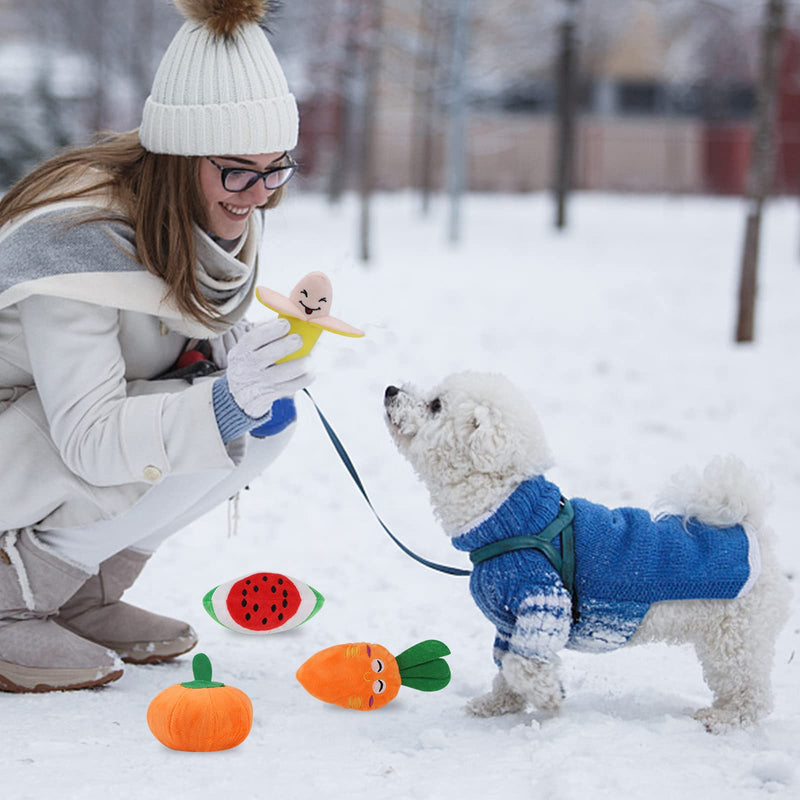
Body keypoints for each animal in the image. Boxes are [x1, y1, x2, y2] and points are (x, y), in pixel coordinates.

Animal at [384, 372, 792, 728]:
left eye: (436, 405)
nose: (390, 389)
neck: (508, 514)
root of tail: (751, 529)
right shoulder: (510, 620)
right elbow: (507, 664)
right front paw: (498, 704)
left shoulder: (543, 599)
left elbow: (521, 664)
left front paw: (549, 698)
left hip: (735, 638)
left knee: (751, 694)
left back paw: (723, 719)